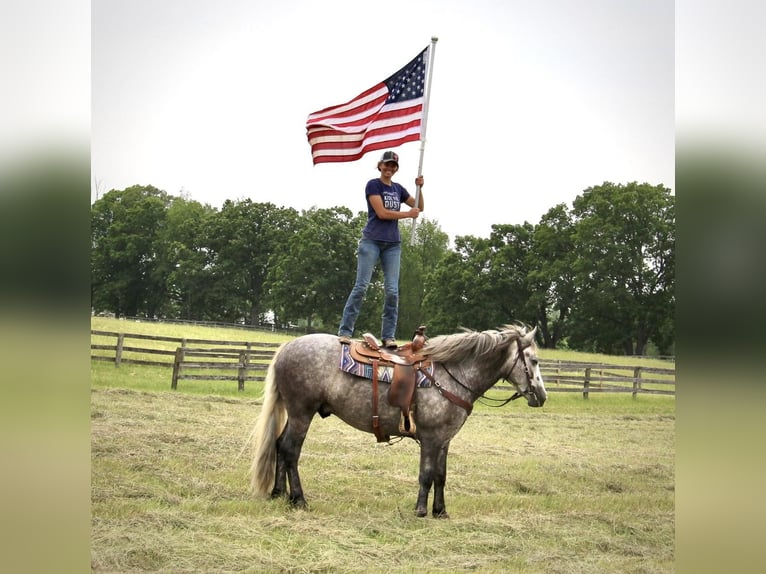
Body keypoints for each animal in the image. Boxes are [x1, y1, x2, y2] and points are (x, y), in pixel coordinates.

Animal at [250, 326, 544, 520]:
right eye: (534, 360)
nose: (541, 395)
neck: (453, 374)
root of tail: (286, 348)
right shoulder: (431, 438)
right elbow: (427, 474)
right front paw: (421, 510)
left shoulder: (444, 440)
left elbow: (441, 475)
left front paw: (440, 511)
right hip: (302, 413)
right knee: (291, 451)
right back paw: (298, 499)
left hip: (294, 413)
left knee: (279, 445)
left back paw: (278, 493)